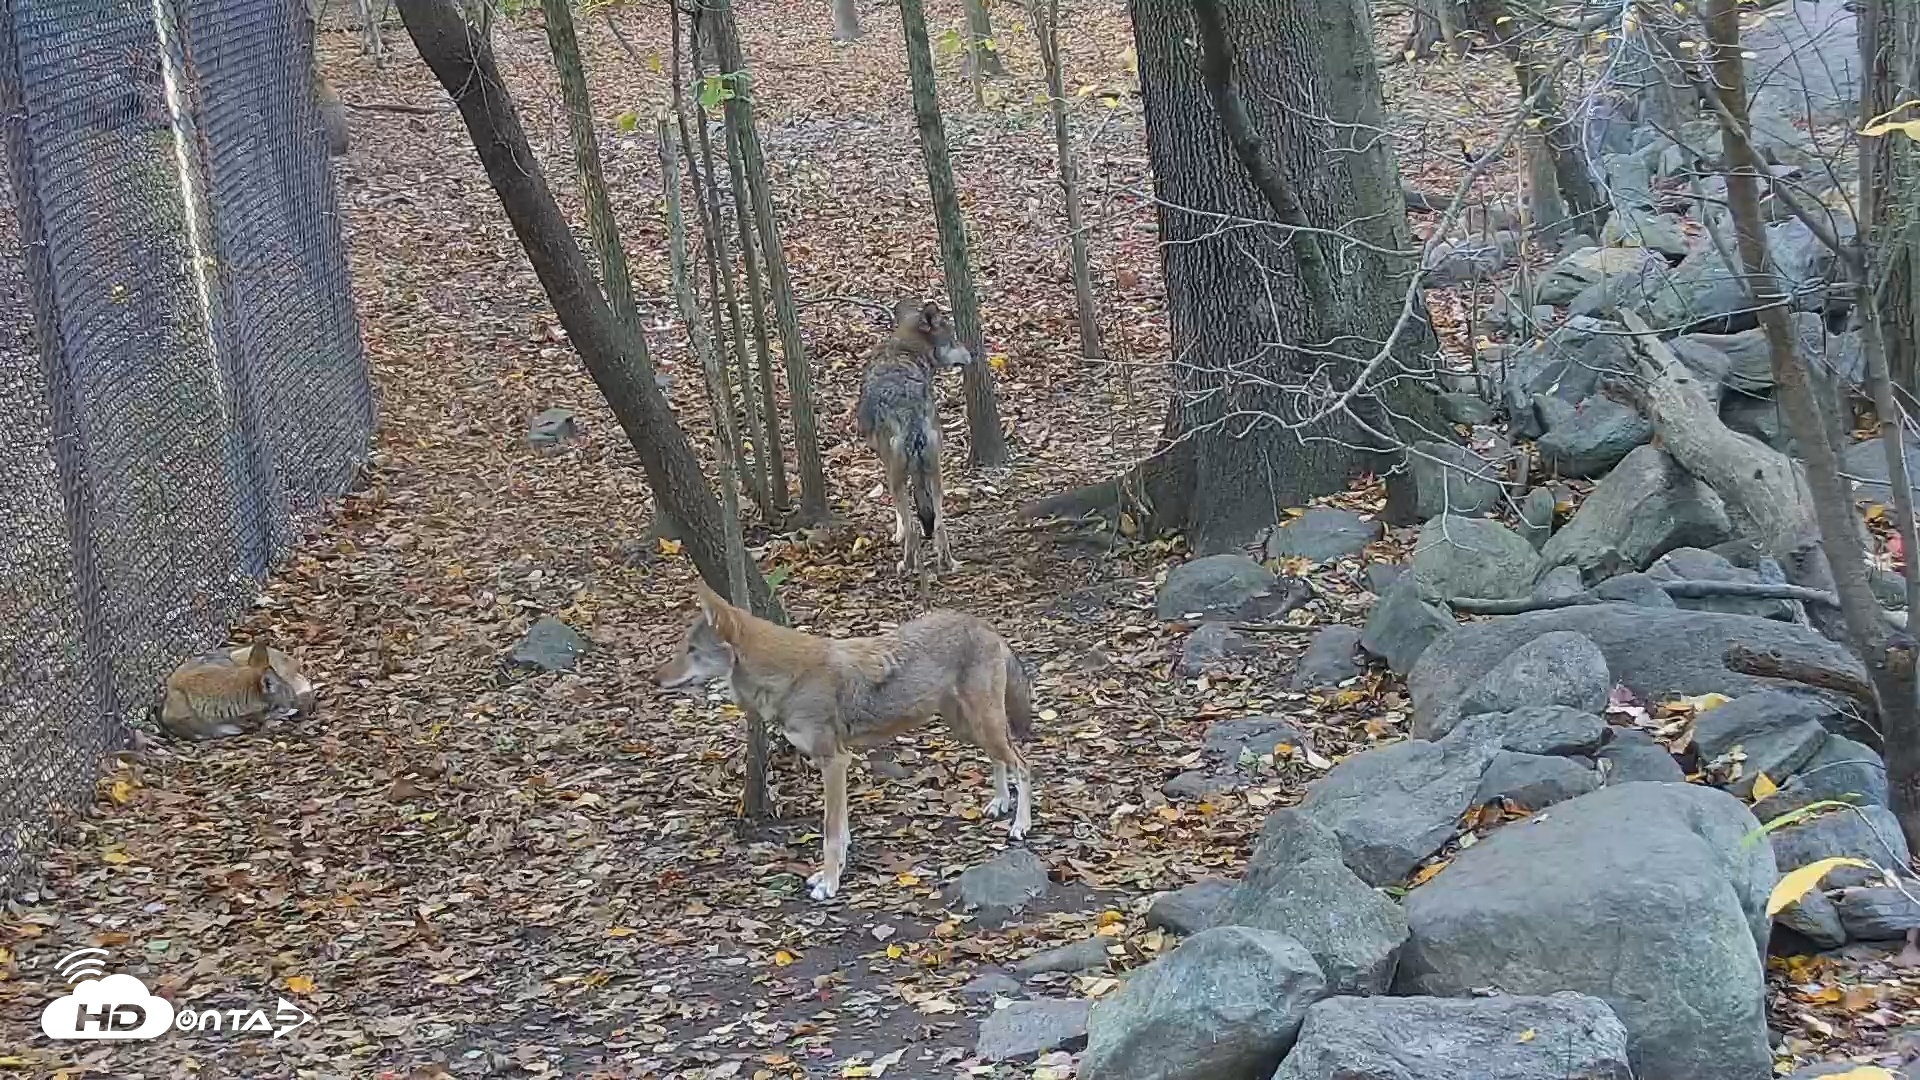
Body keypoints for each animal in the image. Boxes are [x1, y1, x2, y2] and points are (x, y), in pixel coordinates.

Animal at [656, 581, 1035, 901]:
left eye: (692, 650)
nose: (656, 679)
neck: (789, 677)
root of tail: (984, 624)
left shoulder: (833, 762)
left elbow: (831, 833)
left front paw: (828, 884)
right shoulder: (838, 762)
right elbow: (842, 828)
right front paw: (831, 873)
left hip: (982, 725)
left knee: (1022, 764)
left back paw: (1020, 825)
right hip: (970, 729)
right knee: (1000, 759)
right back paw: (999, 803)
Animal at [854, 298, 975, 575]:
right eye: (954, 340)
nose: (971, 356)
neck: (905, 348)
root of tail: (910, 411)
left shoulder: (887, 465)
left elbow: (902, 517)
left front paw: (898, 534)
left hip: (897, 475)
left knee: (911, 528)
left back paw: (907, 564)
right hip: (935, 473)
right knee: (940, 523)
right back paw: (947, 563)